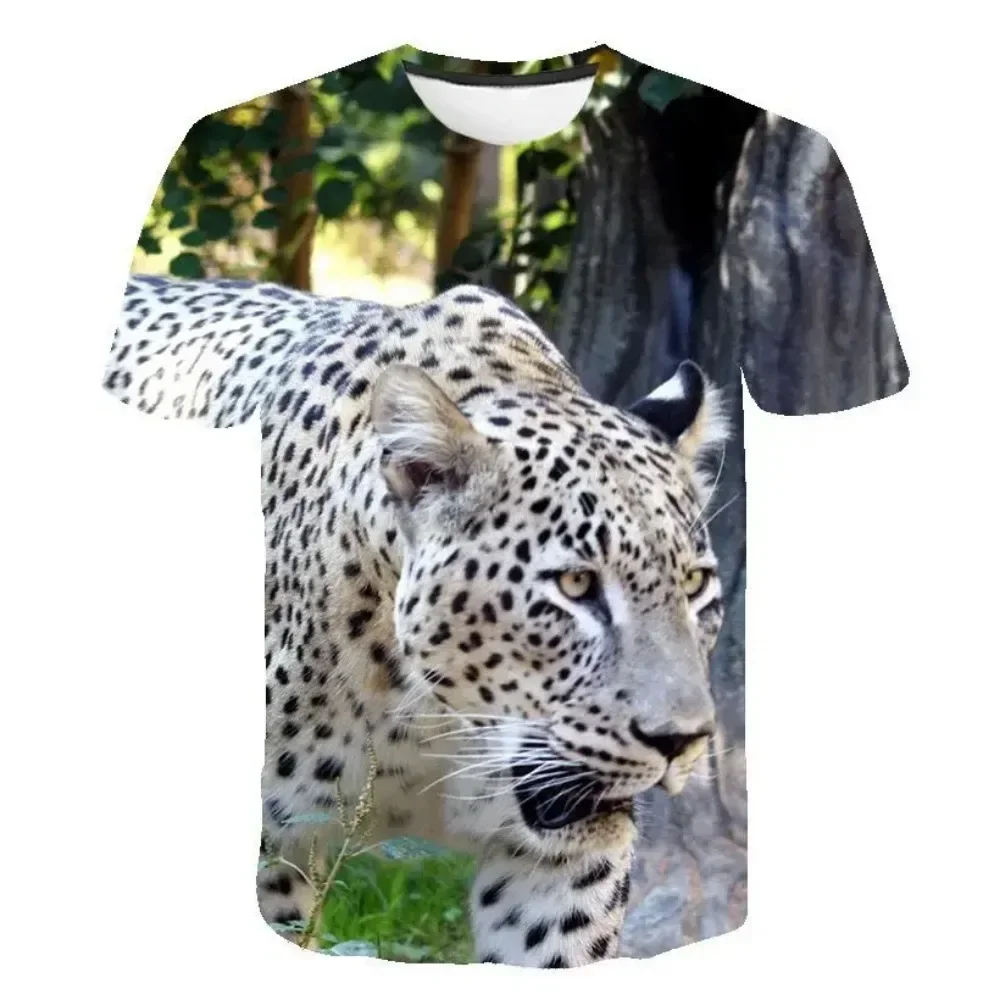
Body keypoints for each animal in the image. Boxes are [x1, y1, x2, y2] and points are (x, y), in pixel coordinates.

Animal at [103, 274, 729, 968]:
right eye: (576, 585)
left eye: (694, 585)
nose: (681, 742)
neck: (431, 724)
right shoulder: (271, 853)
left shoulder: (560, 863)